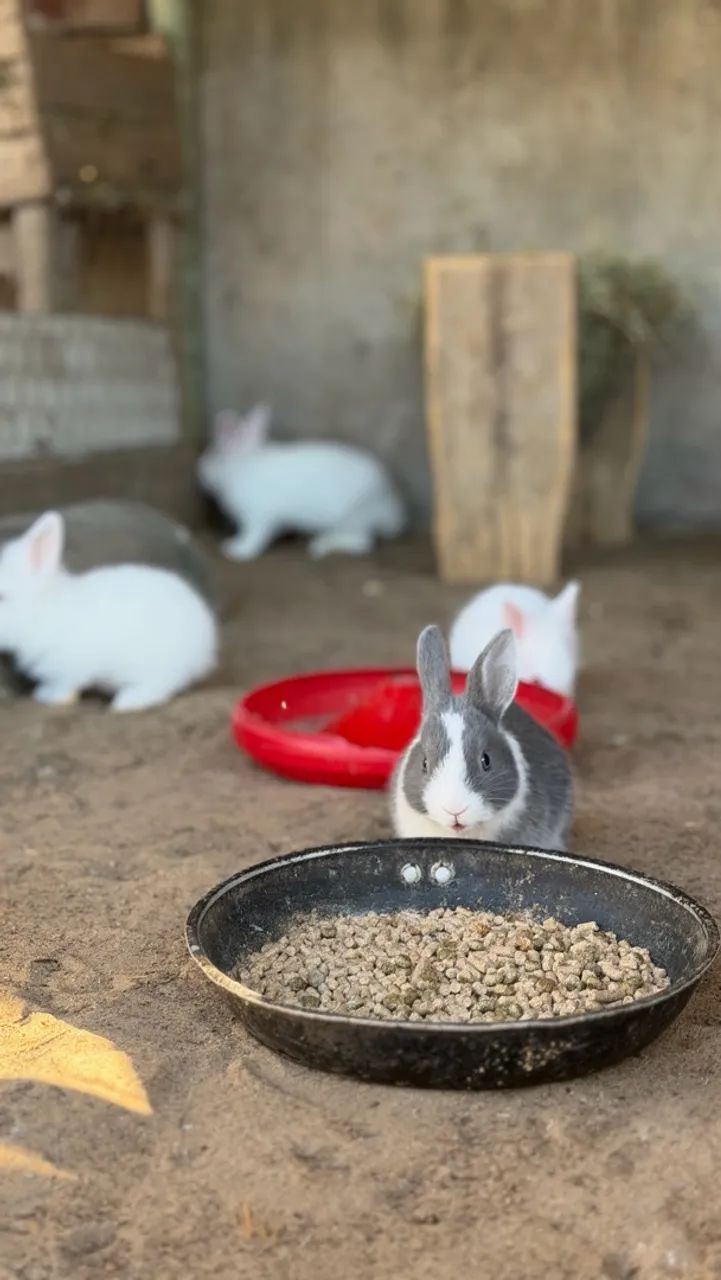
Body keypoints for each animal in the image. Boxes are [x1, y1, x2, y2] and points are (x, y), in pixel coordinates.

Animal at [0, 511, 218, 712]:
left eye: (2, 597)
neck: (42, 613)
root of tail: (205, 644)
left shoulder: (70, 669)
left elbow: (67, 685)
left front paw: (53, 698)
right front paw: (43, 692)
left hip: (158, 665)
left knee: (161, 686)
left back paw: (126, 701)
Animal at [197, 402, 405, 560]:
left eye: (213, 455)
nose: (199, 471)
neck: (241, 466)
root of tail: (392, 510)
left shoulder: (259, 517)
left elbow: (254, 536)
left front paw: (236, 549)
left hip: (351, 519)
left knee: (362, 543)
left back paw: (322, 544)